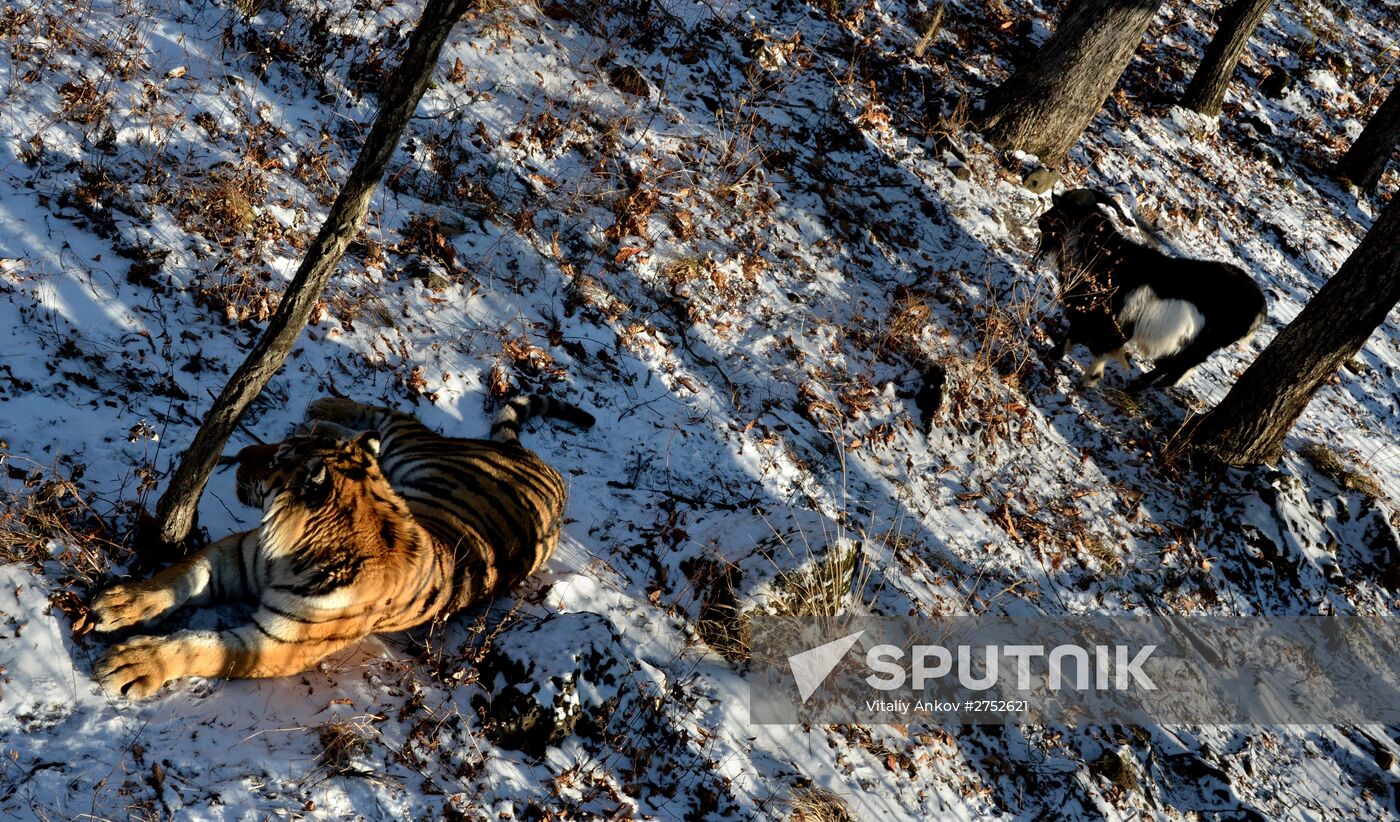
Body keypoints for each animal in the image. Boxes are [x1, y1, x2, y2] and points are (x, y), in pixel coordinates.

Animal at [90, 395, 594, 699]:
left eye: (275, 459)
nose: (238, 456)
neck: (290, 554)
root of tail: (536, 460)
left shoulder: (275, 645)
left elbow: (199, 646)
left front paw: (133, 663)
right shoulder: (235, 556)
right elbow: (177, 578)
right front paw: (121, 603)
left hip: (419, 450)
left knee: (400, 418)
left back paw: (326, 410)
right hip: (406, 453)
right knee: (384, 419)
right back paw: (326, 409)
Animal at [1035, 189, 1266, 391]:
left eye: (1059, 209)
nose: (1040, 219)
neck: (1106, 257)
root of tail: (1259, 308)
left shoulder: (1109, 320)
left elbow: (1092, 345)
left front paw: (1086, 377)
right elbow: (1076, 337)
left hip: (1200, 345)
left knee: (1174, 366)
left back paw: (1139, 386)